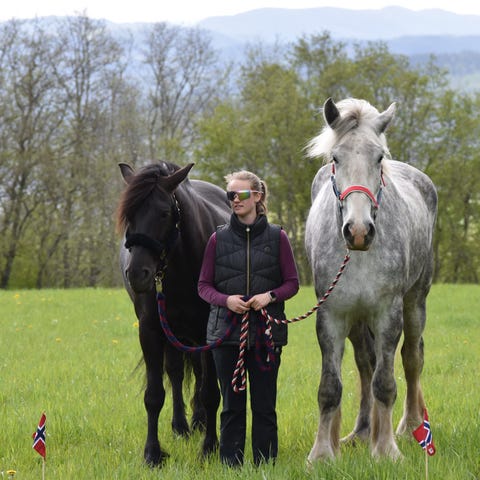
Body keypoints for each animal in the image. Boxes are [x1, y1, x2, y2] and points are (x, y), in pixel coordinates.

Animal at [115, 161, 231, 466]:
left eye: (164, 213)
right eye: (129, 216)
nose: (137, 274)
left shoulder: (206, 332)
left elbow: (210, 392)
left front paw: (209, 448)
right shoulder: (151, 332)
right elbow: (154, 395)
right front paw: (152, 453)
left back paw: (200, 423)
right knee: (177, 373)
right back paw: (181, 425)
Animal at [304, 98, 437, 462]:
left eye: (379, 158)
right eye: (336, 158)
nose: (359, 231)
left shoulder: (387, 313)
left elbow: (386, 383)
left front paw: (387, 450)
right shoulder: (332, 315)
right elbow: (330, 387)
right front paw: (322, 453)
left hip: (415, 303)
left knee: (412, 357)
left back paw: (409, 425)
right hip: (357, 319)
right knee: (365, 364)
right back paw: (362, 432)